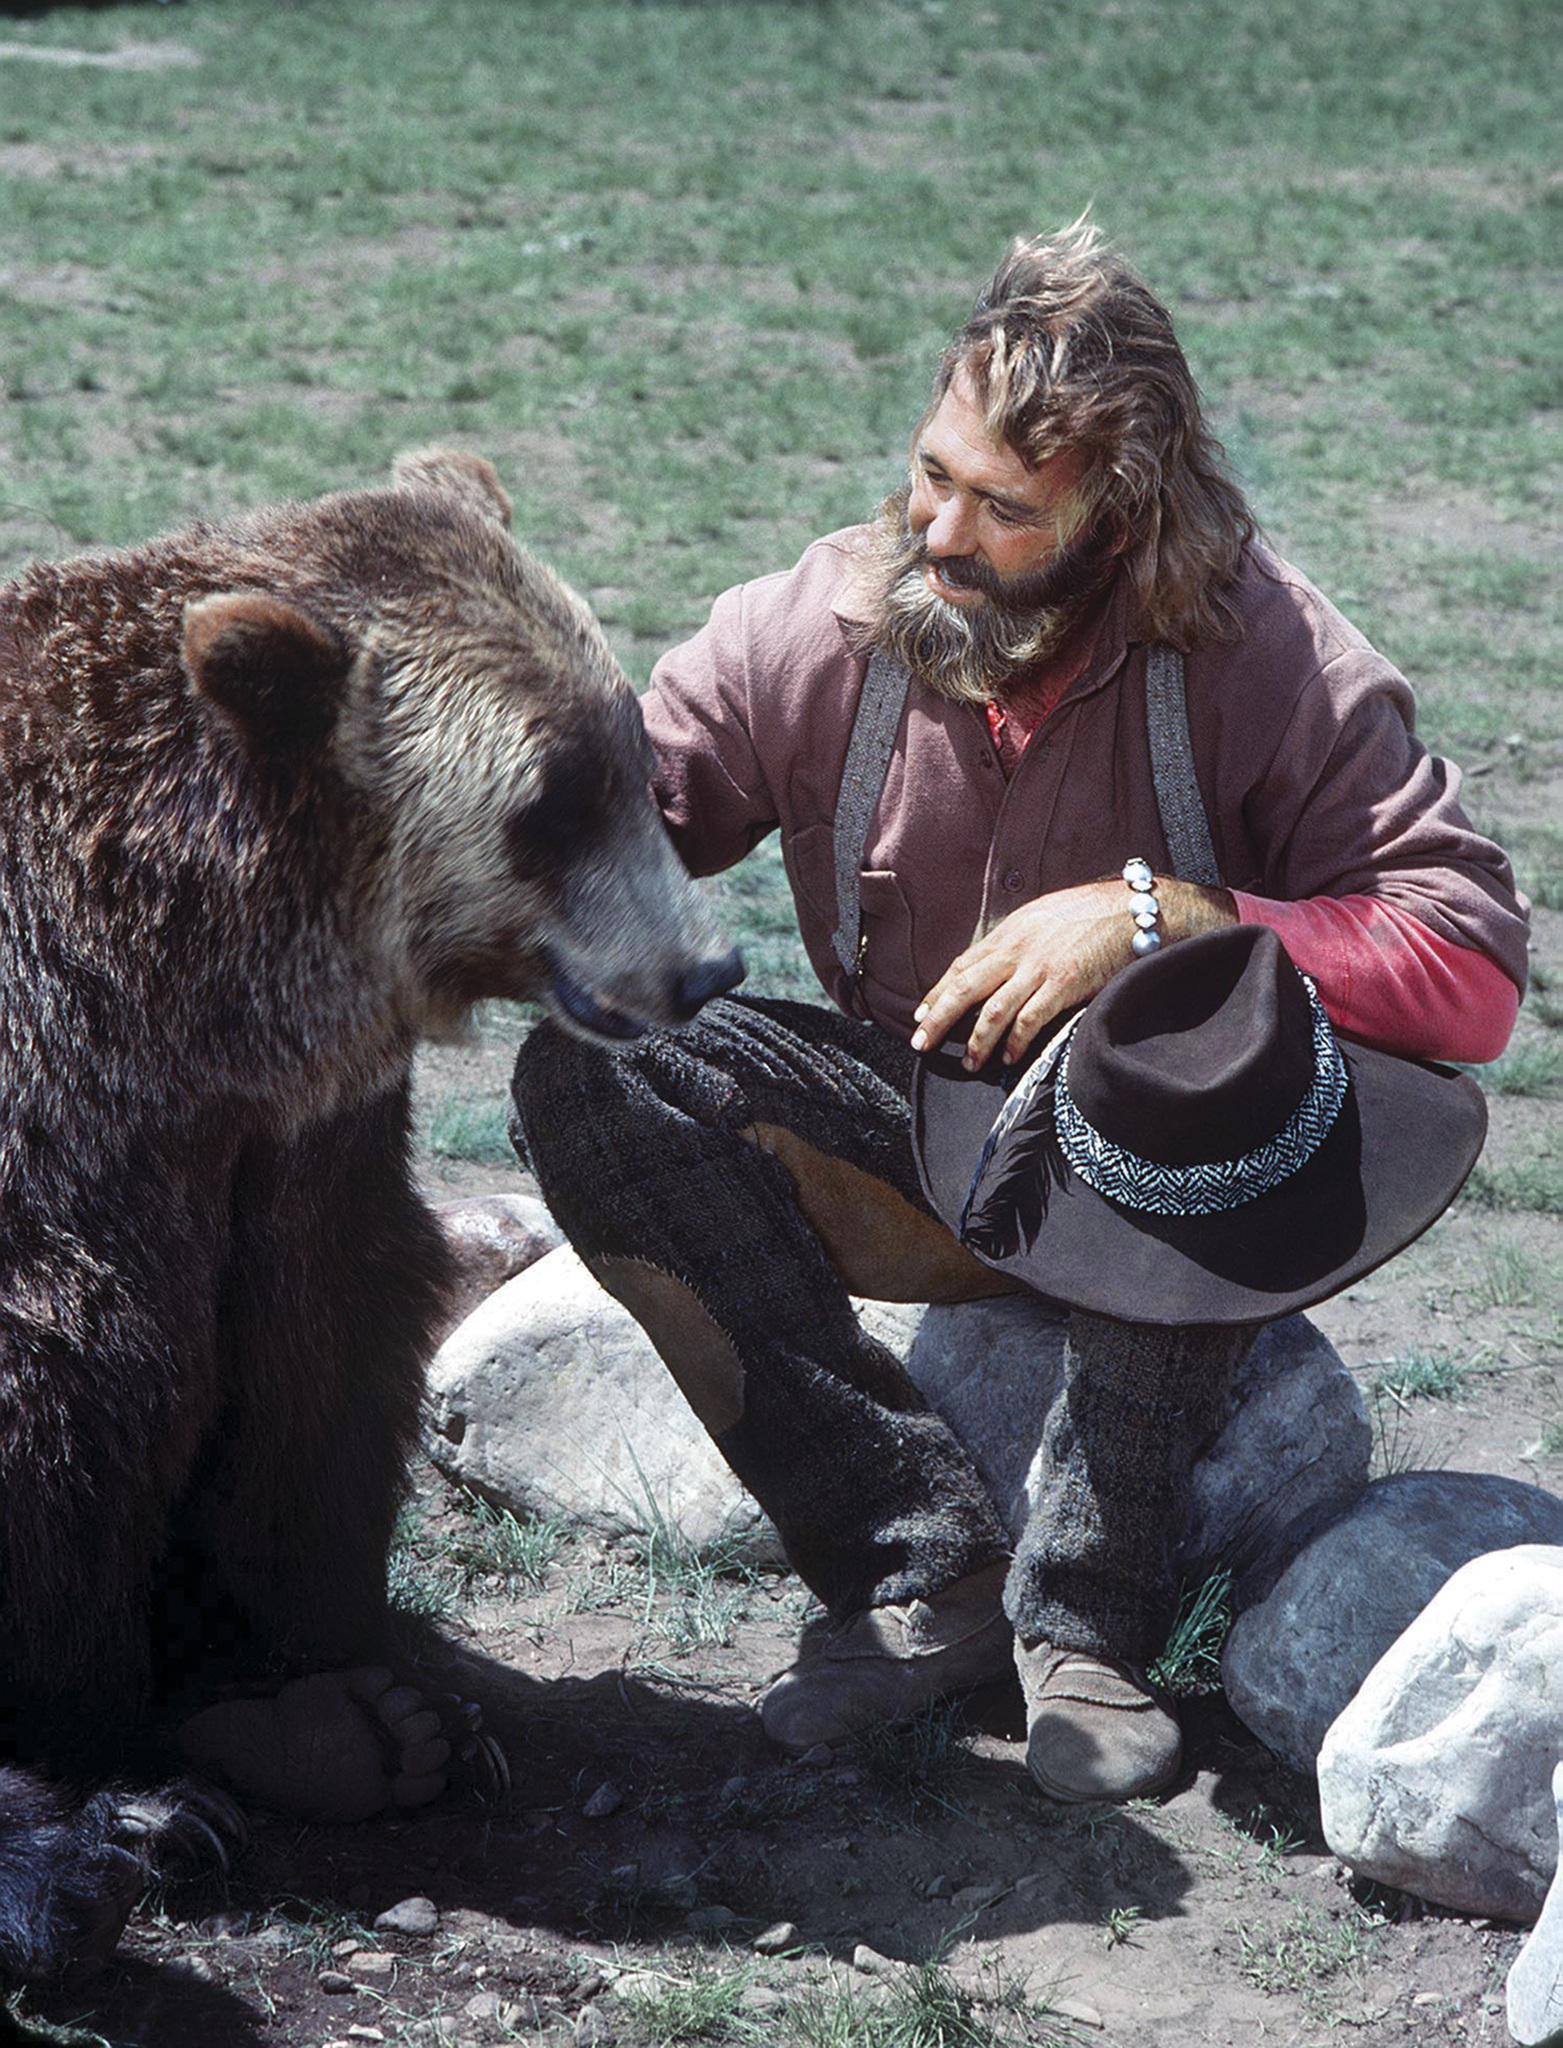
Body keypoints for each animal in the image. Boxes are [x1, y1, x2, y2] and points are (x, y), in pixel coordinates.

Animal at [0, 452, 741, 1982]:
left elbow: (319, 1355)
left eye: (636, 762)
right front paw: (128, 1773)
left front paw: (344, 1696)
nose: (704, 966)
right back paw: (87, 1857)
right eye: (549, 798)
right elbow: (76, 1384)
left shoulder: (293, 1135)